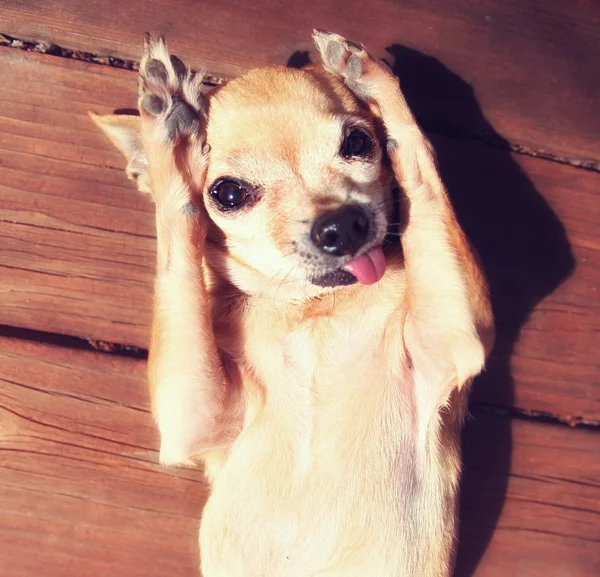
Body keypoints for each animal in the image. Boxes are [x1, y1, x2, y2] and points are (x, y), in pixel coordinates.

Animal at [90, 30, 492, 576]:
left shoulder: (452, 340)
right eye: (228, 194)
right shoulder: (191, 419)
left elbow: (422, 167)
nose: (341, 225)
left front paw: (370, 76)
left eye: (358, 143)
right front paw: (170, 140)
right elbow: (179, 249)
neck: (312, 309)